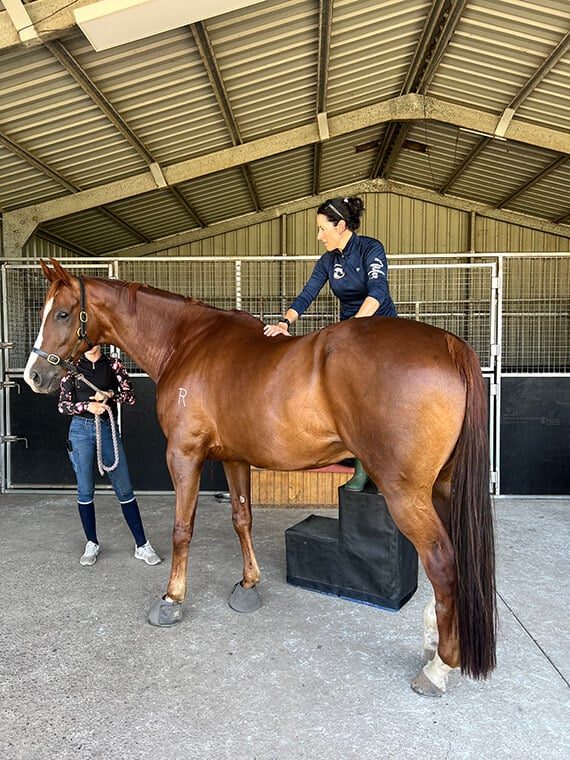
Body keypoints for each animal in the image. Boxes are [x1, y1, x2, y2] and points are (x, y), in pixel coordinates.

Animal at [24, 258, 496, 697]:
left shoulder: (184, 456)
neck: (188, 342)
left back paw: (439, 667)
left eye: (62, 313)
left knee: (441, 562)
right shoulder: (234, 459)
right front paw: (248, 584)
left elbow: (182, 528)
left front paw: (172, 599)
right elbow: (242, 518)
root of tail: (450, 344)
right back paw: (434, 643)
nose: (34, 376)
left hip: (406, 493)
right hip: (441, 489)